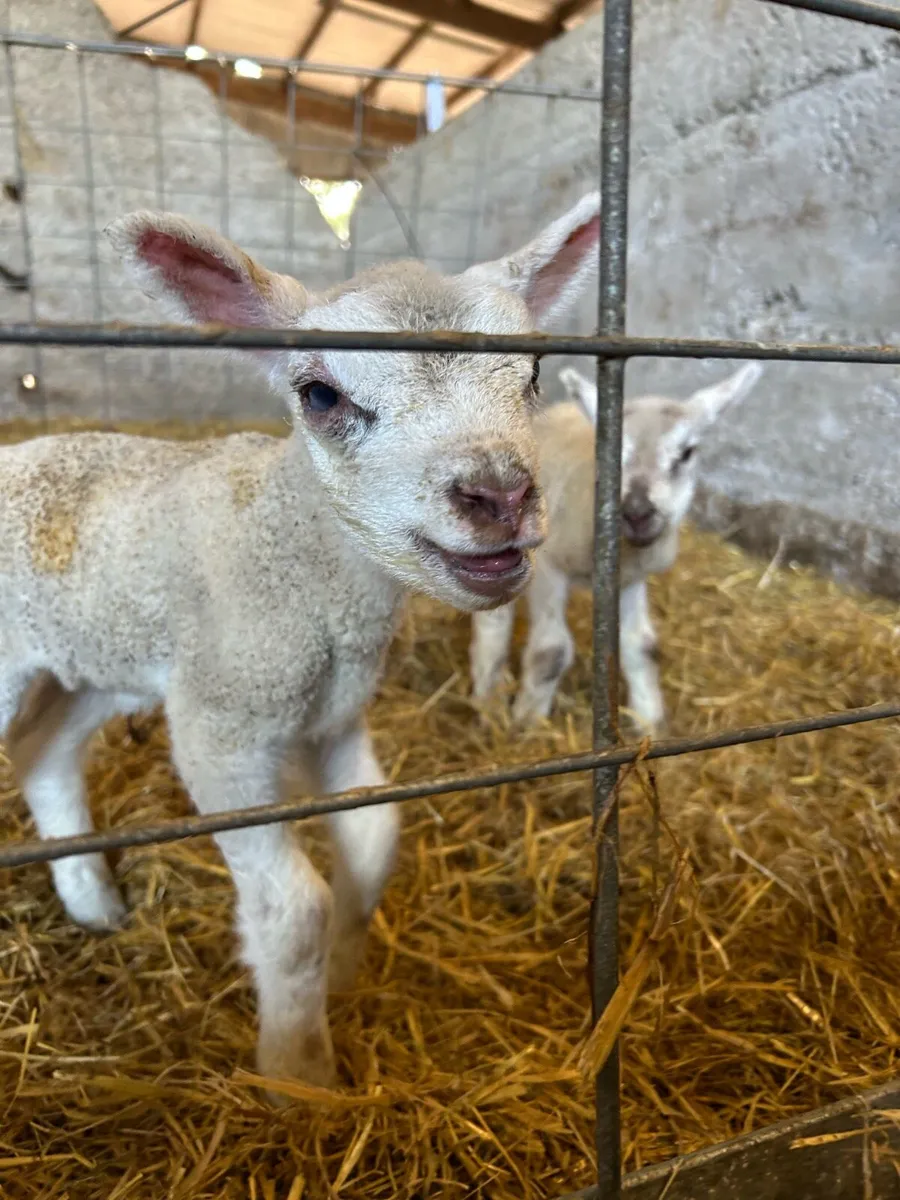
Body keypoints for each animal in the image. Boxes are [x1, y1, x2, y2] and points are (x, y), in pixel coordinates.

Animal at [0, 194, 601, 1097]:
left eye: (531, 378)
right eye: (319, 394)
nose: (499, 494)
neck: (304, 567)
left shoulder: (333, 716)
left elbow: (375, 842)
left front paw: (345, 978)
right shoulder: (224, 726)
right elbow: (293, 909)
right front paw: (299, 1074)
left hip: (95, 660)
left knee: (44, 754)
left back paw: (93, 901)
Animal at [469, 360, 764, 733]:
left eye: (687, 452)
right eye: (610, 452)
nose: (637, 512)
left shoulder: (630, 577)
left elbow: (643, 646)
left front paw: (649, 721)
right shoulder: (549, 567)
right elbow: (551, 651)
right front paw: (528, 725)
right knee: (493, 619)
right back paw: (488, 699)